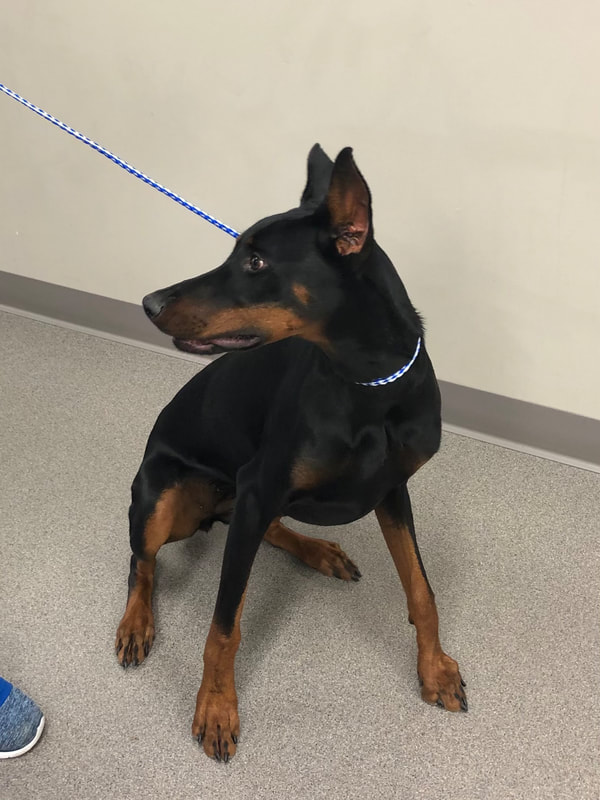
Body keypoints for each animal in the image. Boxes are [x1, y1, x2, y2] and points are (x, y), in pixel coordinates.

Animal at [115, 144, 466, 764]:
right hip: (164, 499)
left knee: (267, 528)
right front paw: (216, 708)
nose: (149, 302)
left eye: (256, 262)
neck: (369, 386)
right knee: (143, 561)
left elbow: (422, 590)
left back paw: (318, 551)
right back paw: (136, 623)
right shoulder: (260, 484)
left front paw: (435, 670)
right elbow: (224, 626)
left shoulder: (391, 489)